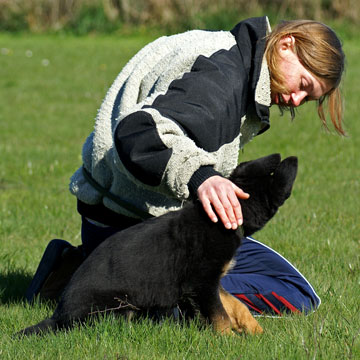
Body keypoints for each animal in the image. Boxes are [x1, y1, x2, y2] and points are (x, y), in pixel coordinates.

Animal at [17, 153, 298, 336]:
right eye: (274, 174)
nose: (293, 158)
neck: (219, 217)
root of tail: (58, 316)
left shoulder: (211, 281)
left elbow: (236, 305)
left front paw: (255, 332)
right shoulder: (202, 282)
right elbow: (219, 315)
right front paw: (229, 340)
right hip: (117, 306)